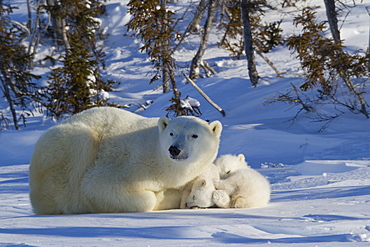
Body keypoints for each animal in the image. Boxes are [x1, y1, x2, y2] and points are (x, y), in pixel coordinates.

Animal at [29, 106, 223, 214]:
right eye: (172, 133)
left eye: (194, 135)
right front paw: (162, 196)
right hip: (65, 148)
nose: (174, 149)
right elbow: (95, 186)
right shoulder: (131, 164)